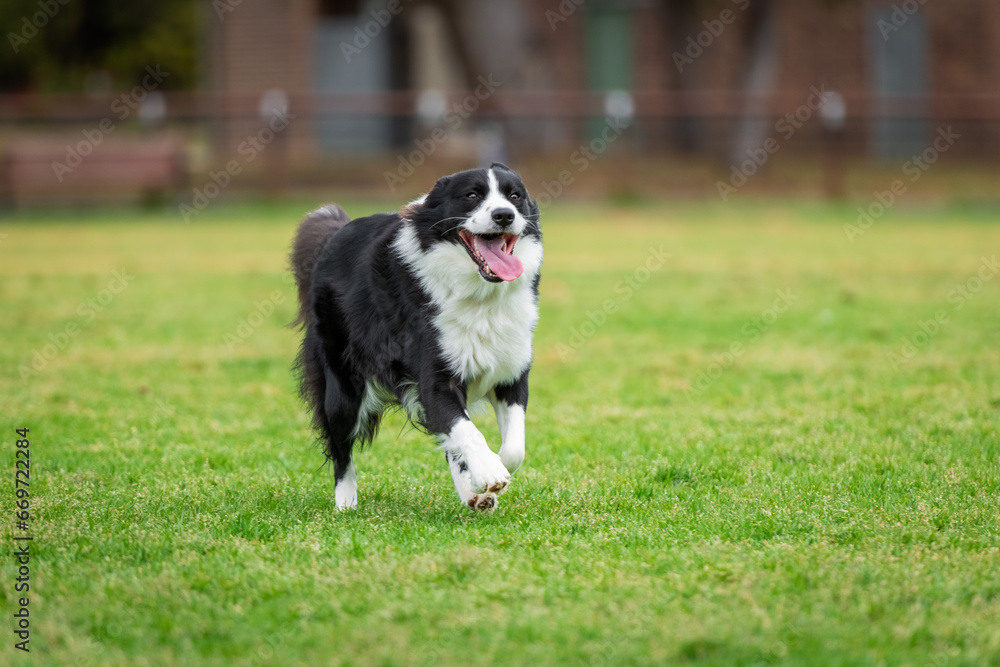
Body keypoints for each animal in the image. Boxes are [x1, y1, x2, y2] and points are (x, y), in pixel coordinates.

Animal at [292, 164, 540, 516]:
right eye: (472, 196)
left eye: (515, 196)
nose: (504, 215)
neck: (480, 294)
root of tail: (335, 234)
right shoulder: (434, 379)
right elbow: (467, 431)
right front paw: (489, 471)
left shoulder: (512, 374)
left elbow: (513, 447)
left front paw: (486, 473)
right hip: (343, 384)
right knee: (340, 445)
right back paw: (346, 502)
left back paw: (470, 492)